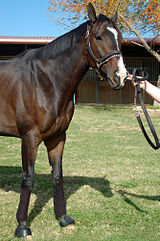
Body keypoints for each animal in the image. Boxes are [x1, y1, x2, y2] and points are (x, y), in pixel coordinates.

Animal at [0, 2, 127, 238]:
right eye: (98, 37)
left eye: (120, 37)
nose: (120, 76)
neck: (45, 80)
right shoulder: (29, 138)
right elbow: (28, 179)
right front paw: (22, 225)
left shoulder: (57, 138)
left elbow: (58, 175)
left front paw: (63, 217)